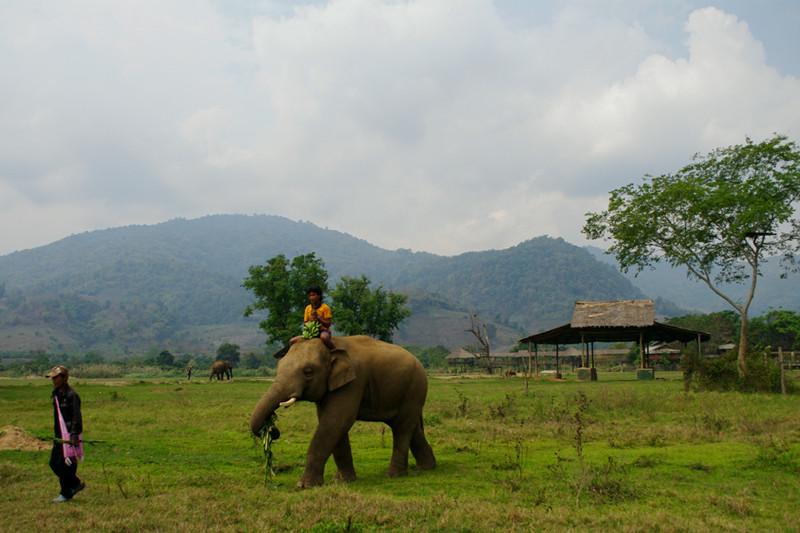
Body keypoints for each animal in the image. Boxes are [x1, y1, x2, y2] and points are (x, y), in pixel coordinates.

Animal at [250, 334, 438, 488]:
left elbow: (336, 421)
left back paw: (394, 475)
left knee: (402, 427)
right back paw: (427, 468)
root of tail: (420, 364)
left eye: (308, 372)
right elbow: (331, 423)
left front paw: (304, 485)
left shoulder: (354, 382)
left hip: (415, 388)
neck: (332, 347)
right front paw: (342, 481)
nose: (272, 429)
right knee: (409, 427)